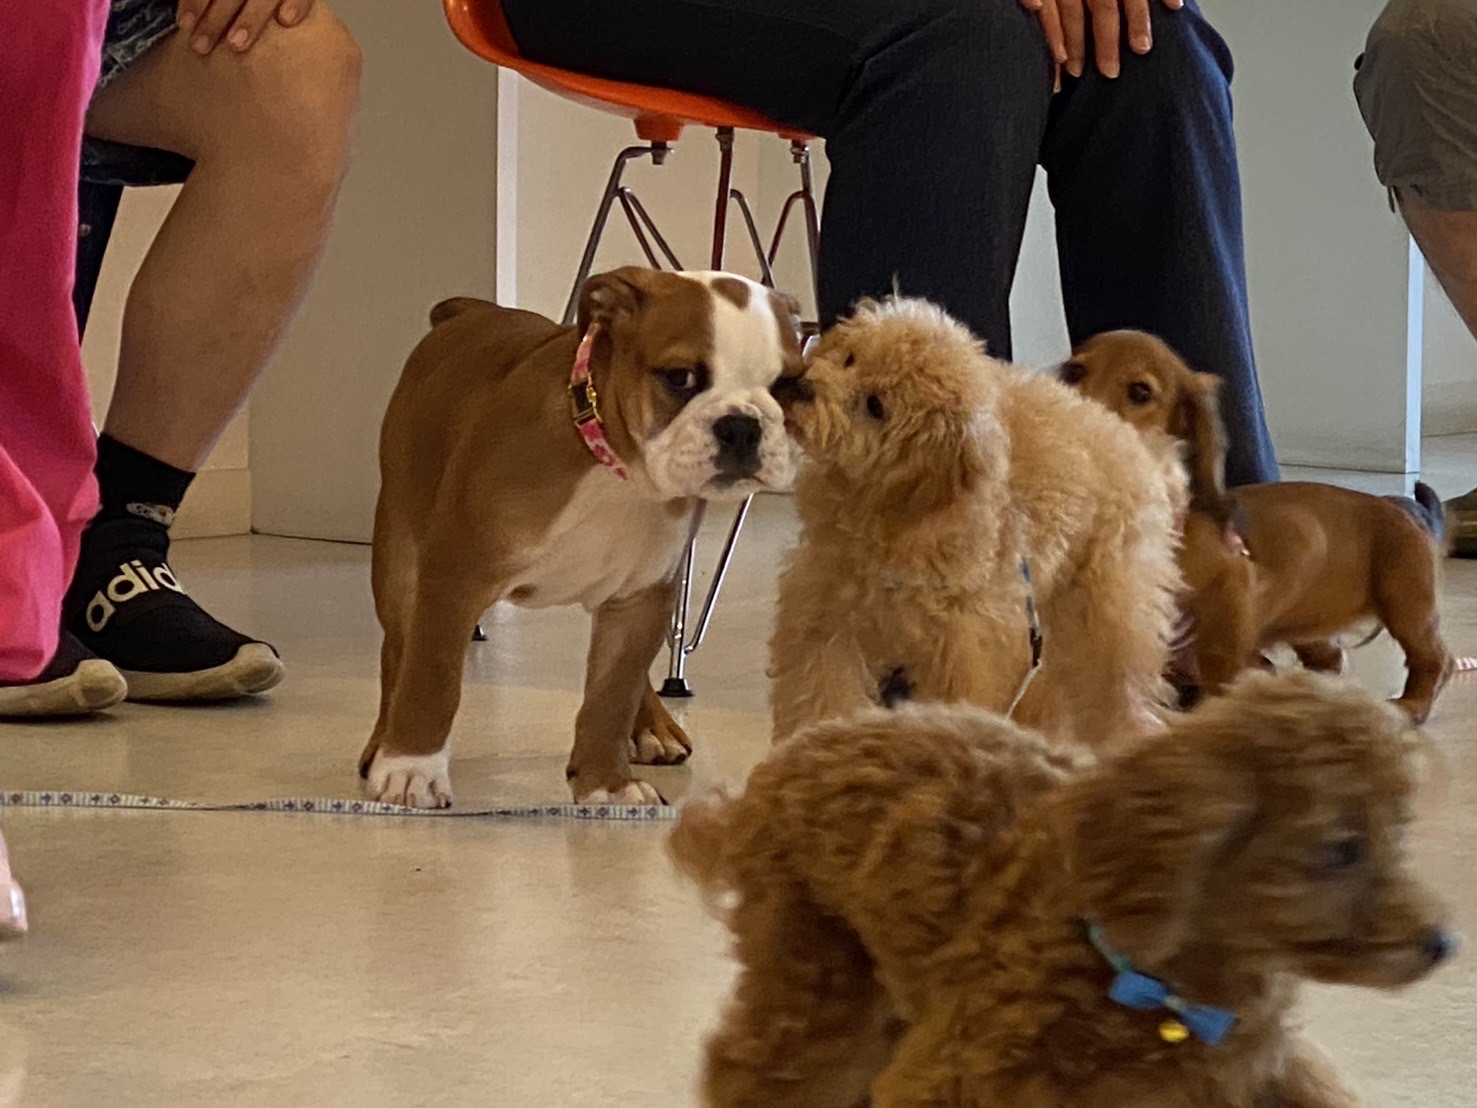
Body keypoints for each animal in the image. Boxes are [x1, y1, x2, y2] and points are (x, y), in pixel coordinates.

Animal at [363, 267, 809, 809]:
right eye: (679, 377)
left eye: (789, 385)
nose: (743, 425)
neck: (616, 466)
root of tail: (468, 312)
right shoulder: (456, 574)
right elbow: (432, 676)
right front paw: (412, 769)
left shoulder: (641, 600)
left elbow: (611, 696)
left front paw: (606, 782)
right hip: (400, 553)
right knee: (397, 650)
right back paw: (381, 744)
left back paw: (653, 727)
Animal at [676, 673, 1453, 1105]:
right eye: (1340, 849)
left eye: (1401, 829)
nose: (1442, 943)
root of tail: (792, 752)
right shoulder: (950, 1080)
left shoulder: (1261, 1075)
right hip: (814, 996)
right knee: (748, 1073)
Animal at [773, 295, 1175, 747]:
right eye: (850, 359)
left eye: (876, 406)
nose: (799, 389)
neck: (896, 509)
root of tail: (1129, 438)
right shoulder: (825, 623)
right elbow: (820, 698)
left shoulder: (968, 651)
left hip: (1107, 618)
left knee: (1124, 700)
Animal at [1063, 329, 1453, 729]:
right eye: (1072, 372)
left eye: (1140, 392)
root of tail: (1402, 506)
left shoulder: (1236, 587)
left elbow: (1219, 660)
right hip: (1311, 623)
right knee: (1330, 659)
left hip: (1407, 602)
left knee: (1436, 660)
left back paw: (1410, 706)